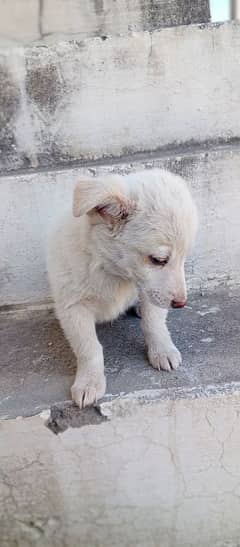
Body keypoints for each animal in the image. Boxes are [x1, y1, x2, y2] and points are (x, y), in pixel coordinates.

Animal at [47, 169, 198, 408]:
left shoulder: (151, 291)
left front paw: (162, 350)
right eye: (158, 260)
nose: (181, 304)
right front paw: (89, 382)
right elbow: (89, 347)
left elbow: (153, 323)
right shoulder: (73, 307)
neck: (112, 270)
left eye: (183, 258)